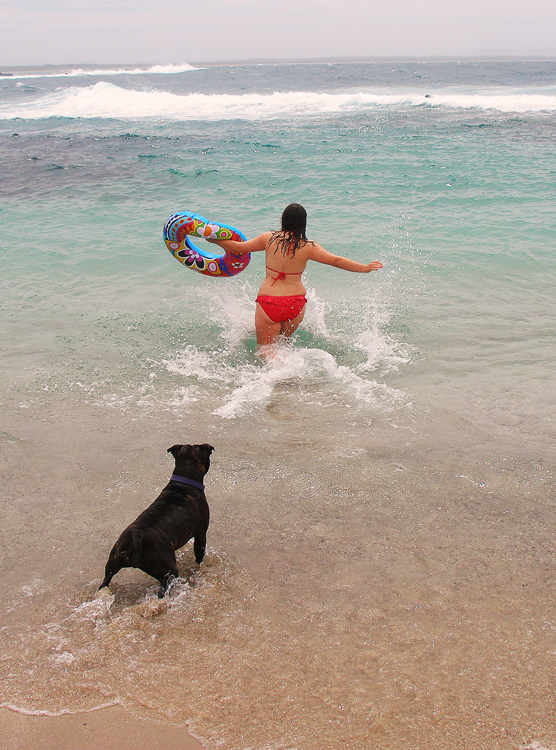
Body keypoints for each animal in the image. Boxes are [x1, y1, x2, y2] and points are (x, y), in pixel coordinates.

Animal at [99, 446, 214, 600]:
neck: (183, 482)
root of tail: (136, 535)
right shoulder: (201, 534)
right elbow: (199, 555)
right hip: (168, 572)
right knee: (164, 589)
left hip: (112, 562)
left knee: (104, 582)